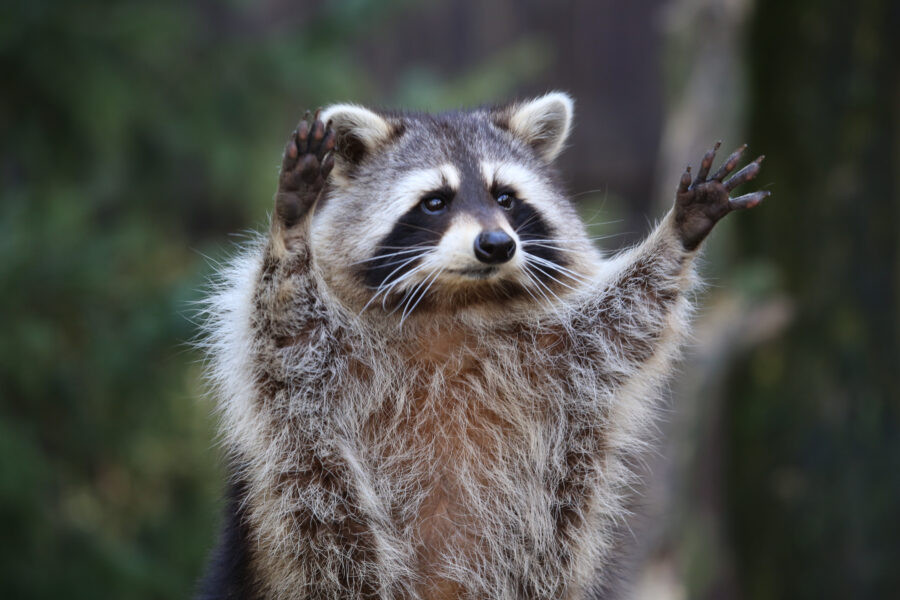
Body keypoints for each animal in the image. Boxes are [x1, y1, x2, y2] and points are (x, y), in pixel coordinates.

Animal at [197, 91, 768, 596]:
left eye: (505, 197)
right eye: (435, 202)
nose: (496, 245)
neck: (457, 303)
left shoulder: (565, 350)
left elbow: (631, 317)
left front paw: (678, 234)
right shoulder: (323, 359)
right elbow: (286, 323)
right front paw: (292, 225)